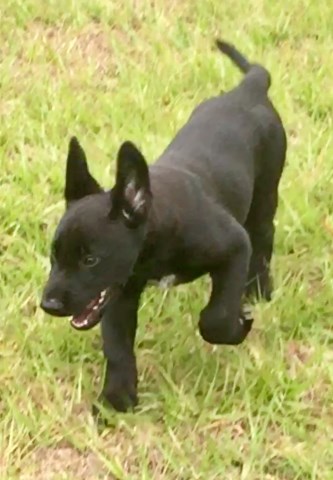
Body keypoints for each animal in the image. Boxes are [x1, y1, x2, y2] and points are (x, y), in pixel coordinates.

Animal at [40, 40, 286, 412]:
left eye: (90, 260)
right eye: (54, 256)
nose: (49, 305)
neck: (158, 235)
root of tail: (249, 88)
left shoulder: (234, 245)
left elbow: (215, 318)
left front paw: (238, 325)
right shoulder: (119, 293)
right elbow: (117, 347)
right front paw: (117, 398)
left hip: (265, 193)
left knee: (263, 238)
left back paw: (258, 290)